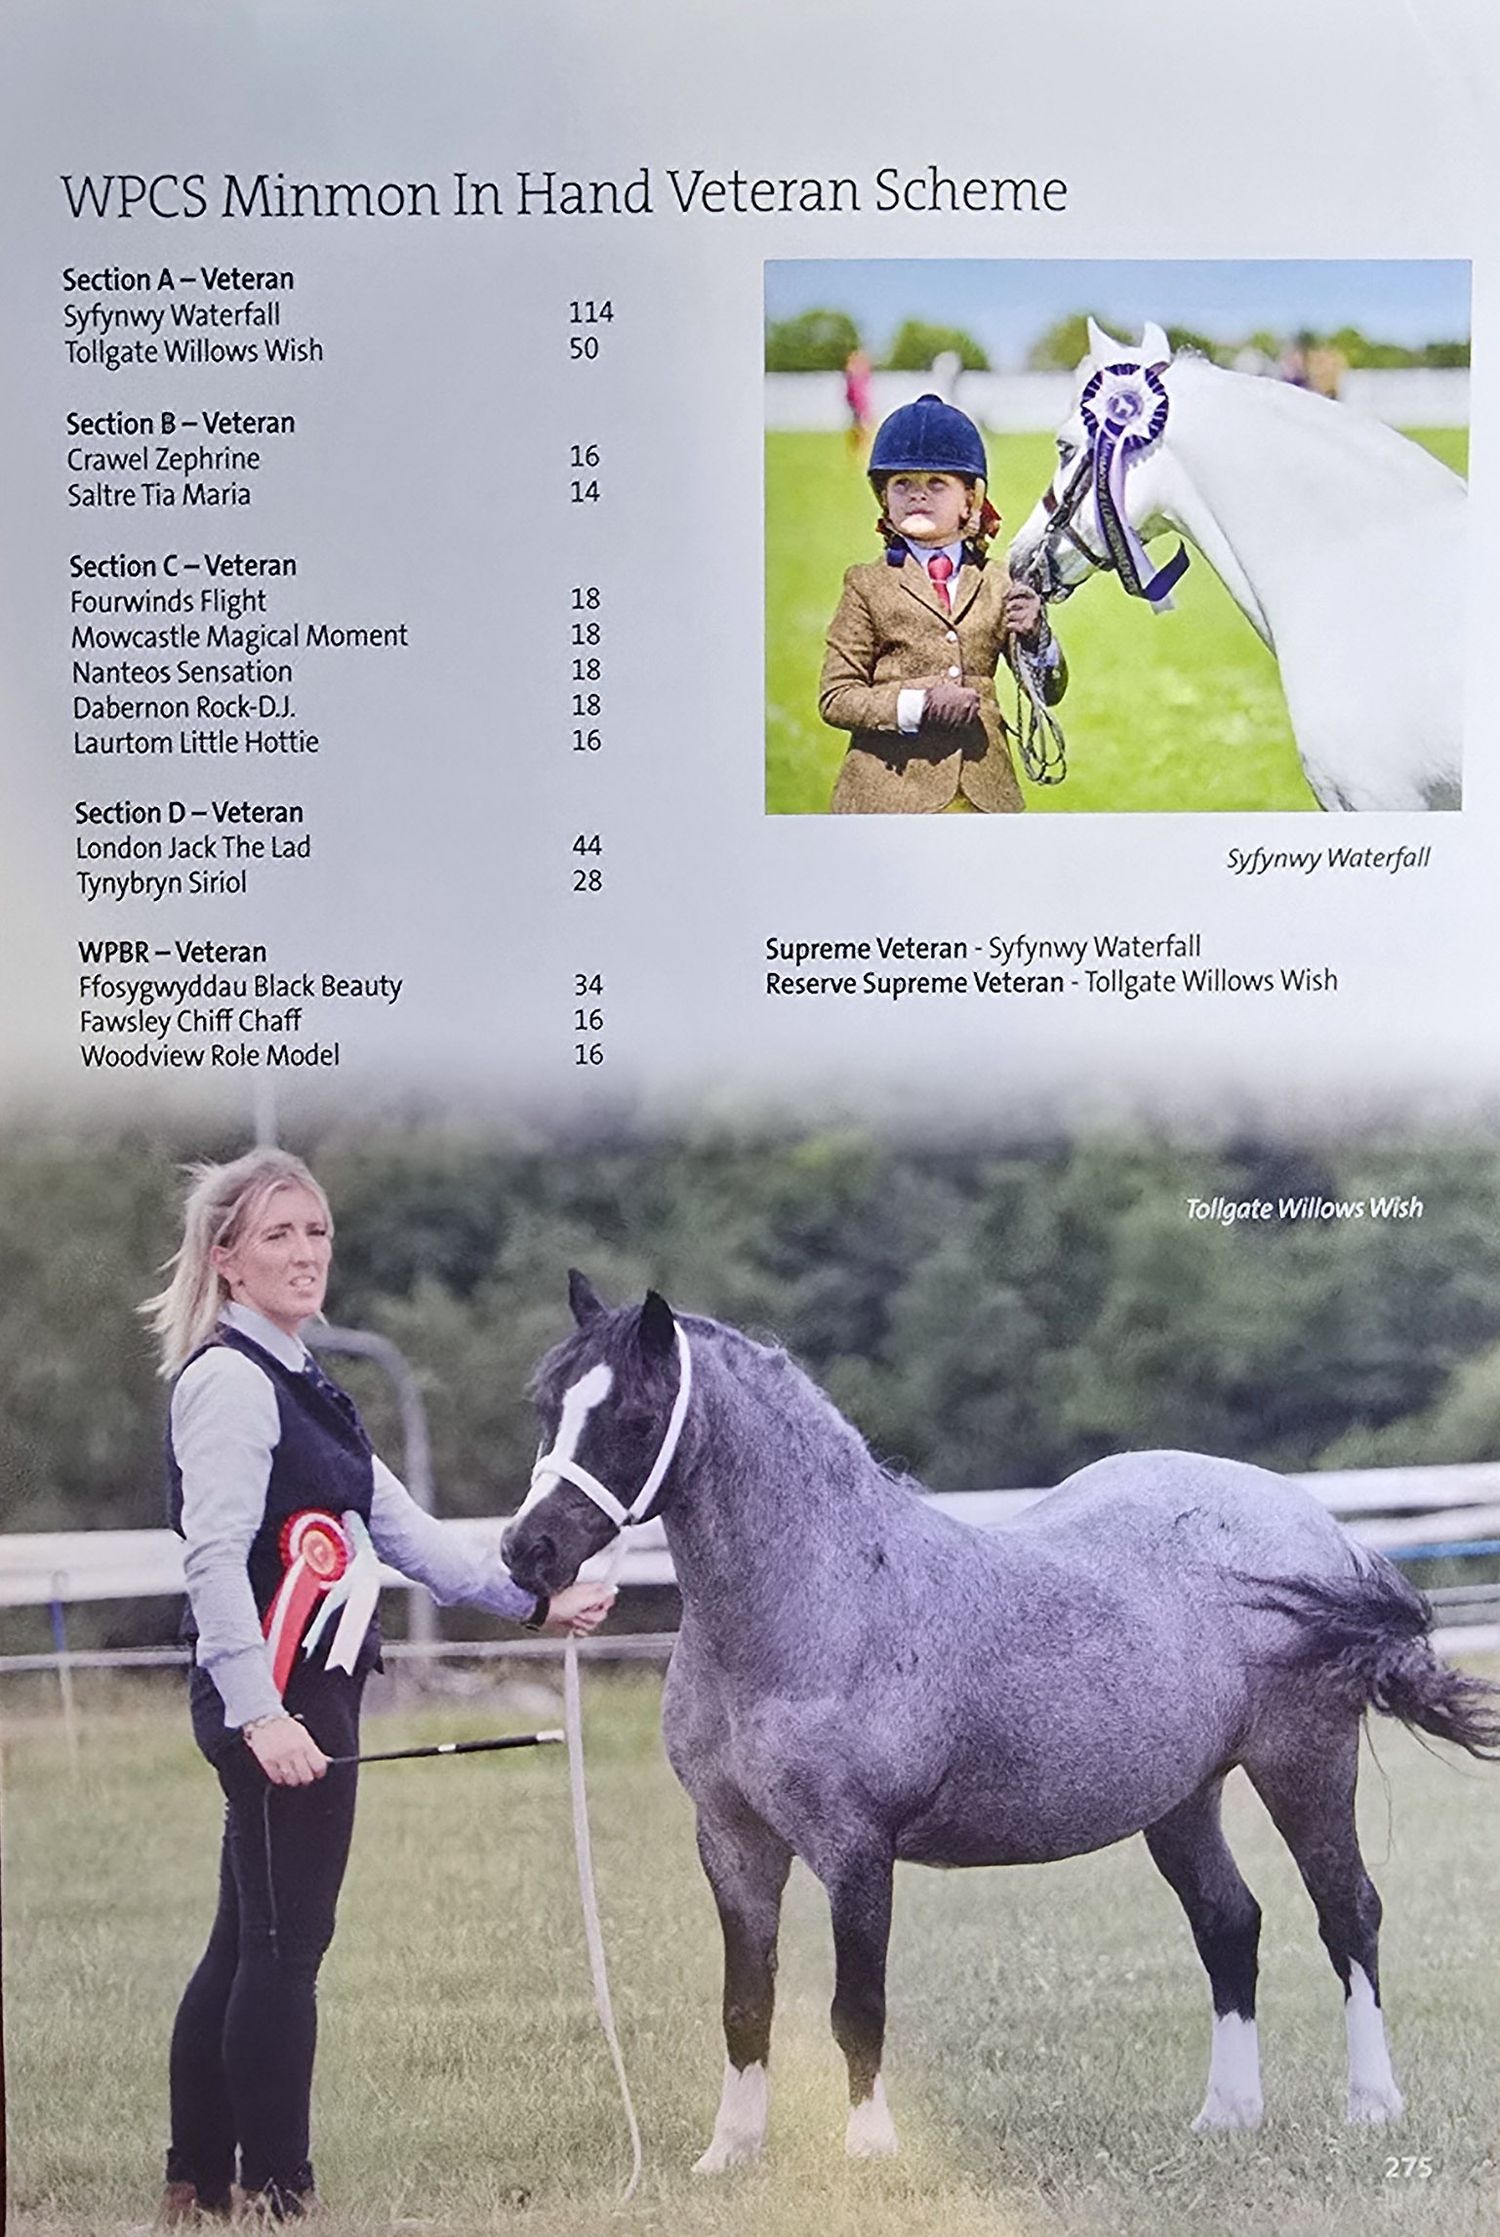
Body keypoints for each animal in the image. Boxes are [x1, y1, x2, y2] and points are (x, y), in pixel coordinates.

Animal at [502, 1276, 1500, 2169]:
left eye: (636, 1418)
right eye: (546, 1406)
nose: (526, 1550)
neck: (823, 1599)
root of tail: (1317, 1526)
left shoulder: (854, 1847)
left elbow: (856, 2003)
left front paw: (870, 2151)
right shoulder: (734, 1842)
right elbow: (746, 2005)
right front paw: (730, 2154)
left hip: (1305, 1762)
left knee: (1348, 1914)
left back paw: (1372, 2104)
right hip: (1181, 1797)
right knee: (1229, 1924)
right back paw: (1227, 2116)